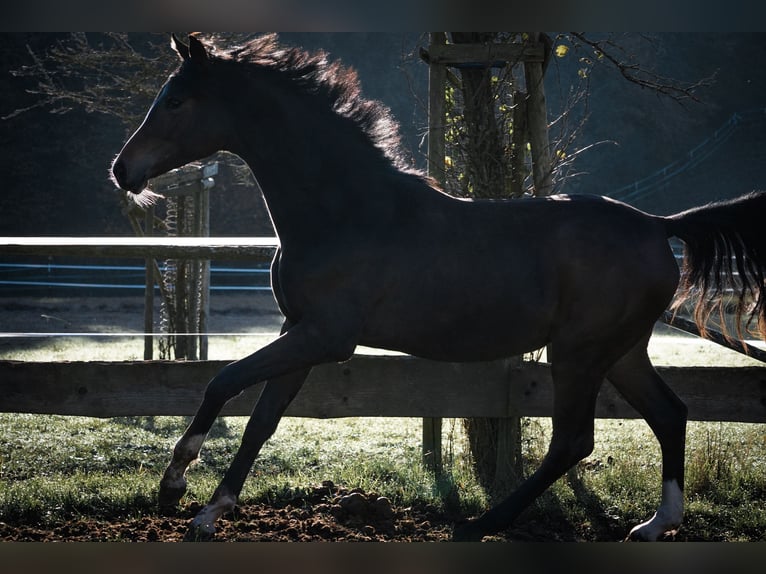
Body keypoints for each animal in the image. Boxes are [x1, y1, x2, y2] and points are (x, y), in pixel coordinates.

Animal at [109, 33, 766, 544]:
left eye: (177, 100)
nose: (122, 169)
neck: (346, 212)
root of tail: (658, 225)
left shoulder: (326, 336)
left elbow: (222, 382)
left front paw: (174, 488)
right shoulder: (300, 332)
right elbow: (260, 420)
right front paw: (212, 511)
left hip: (579, 352)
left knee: (574, 440)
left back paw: (481, 524)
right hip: (622, 351)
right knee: (669, 413)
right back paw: (656, 524)